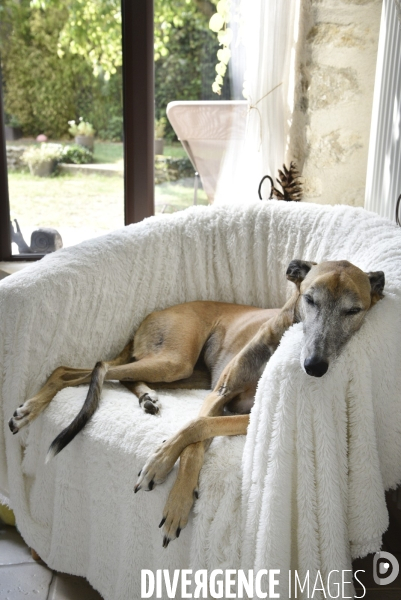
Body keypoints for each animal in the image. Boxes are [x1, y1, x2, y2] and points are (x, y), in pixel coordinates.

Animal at [8, 260, 384, 548]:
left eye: (354, 310)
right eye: (310, 299)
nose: (314, 365)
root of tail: (152, 314)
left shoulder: (244, 413)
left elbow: (196, 428)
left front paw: (165, 470)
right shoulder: (218, 395)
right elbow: (193, 437)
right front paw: (167, 480)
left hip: (185, 372)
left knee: (103, 373)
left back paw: (145, 397)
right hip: (176, 361)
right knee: (77, 369)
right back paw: (28, 410)